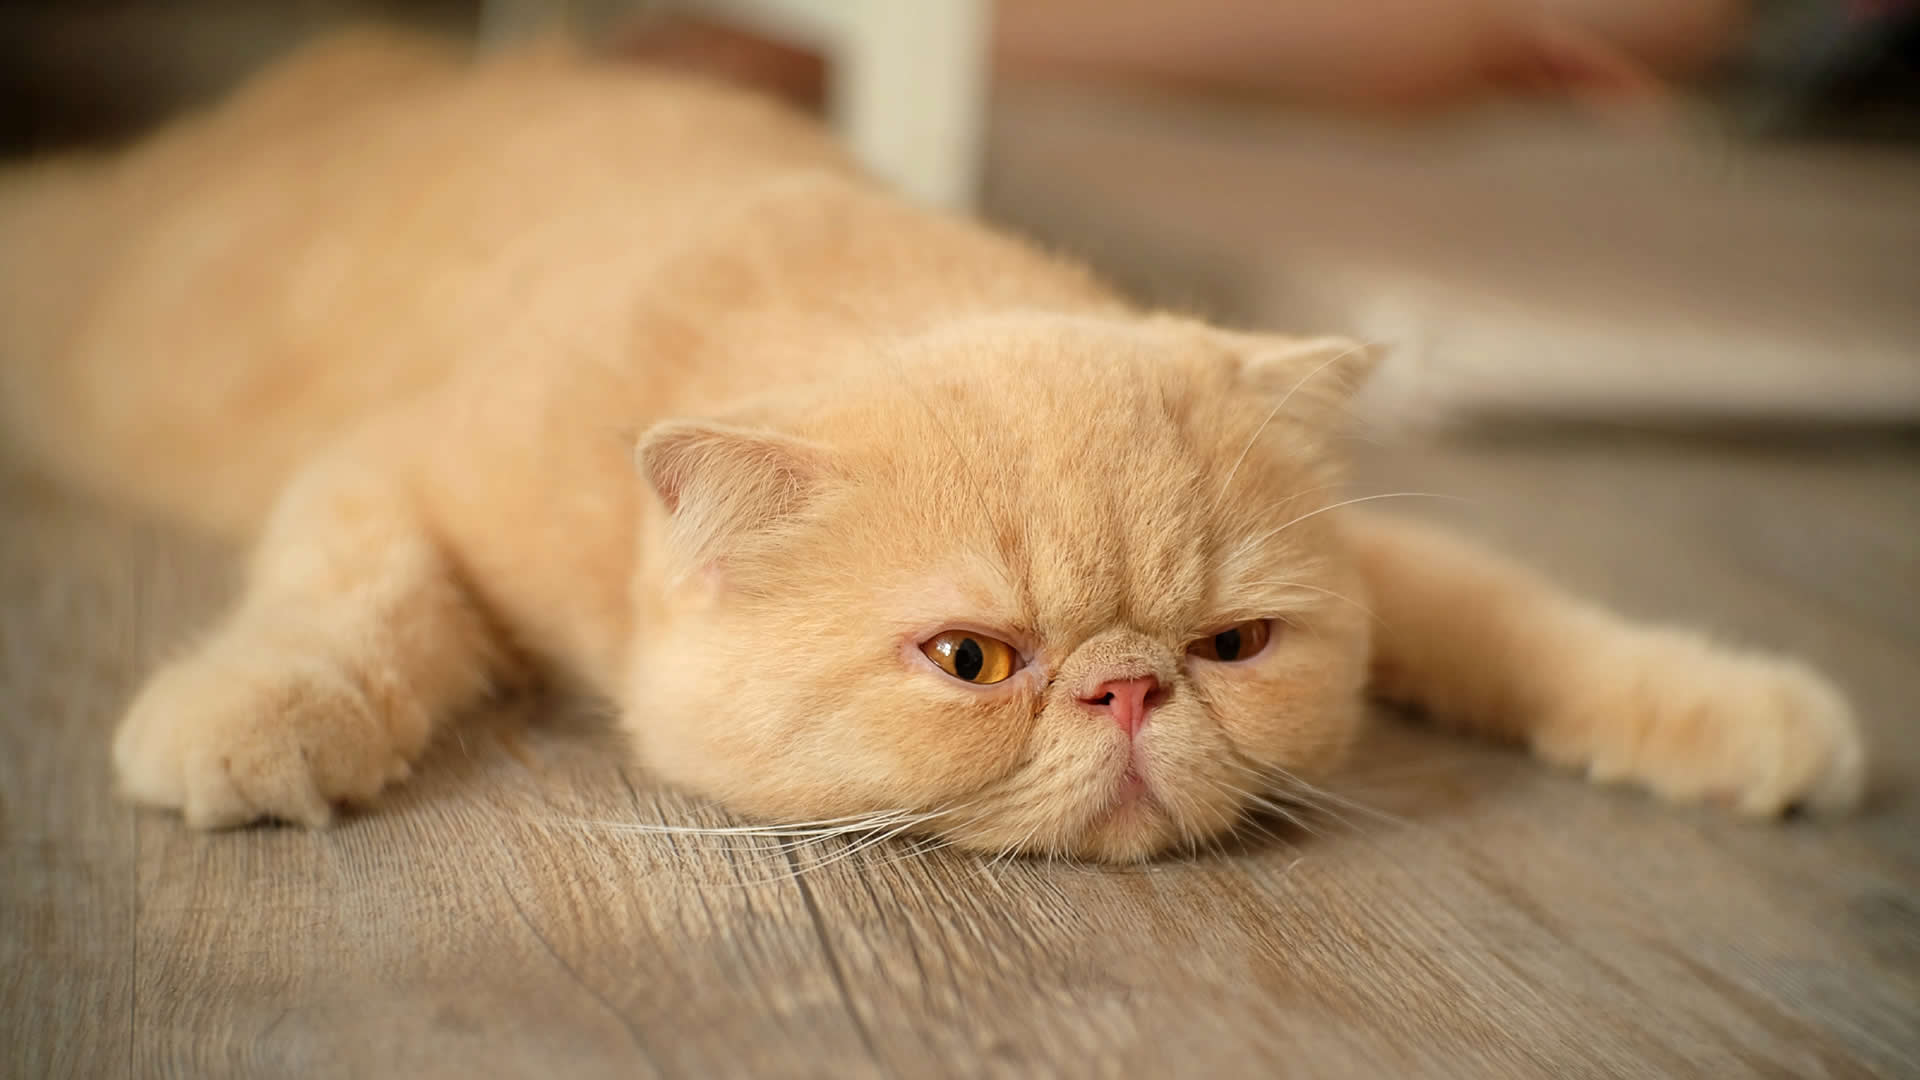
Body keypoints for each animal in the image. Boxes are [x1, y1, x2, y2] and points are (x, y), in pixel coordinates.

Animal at [0, 29, 1858, 860]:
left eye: (1234, 649)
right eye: (973, 661)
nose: (1129, 688)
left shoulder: (1401, 557)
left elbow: (1517, 609)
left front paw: (1730, 706)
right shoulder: (395, 469)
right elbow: (354, 597)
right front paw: (253, 715)